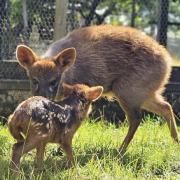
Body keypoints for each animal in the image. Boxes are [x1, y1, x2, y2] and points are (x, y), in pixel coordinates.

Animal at [16, 24, 179, 153]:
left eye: (54, 81)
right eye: (34, 80)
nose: (43, 97)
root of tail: (167, 62)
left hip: (127, 90)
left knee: (136, 118)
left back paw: (120, 150)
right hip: (144, 93)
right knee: (166, 106)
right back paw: (175, 141)